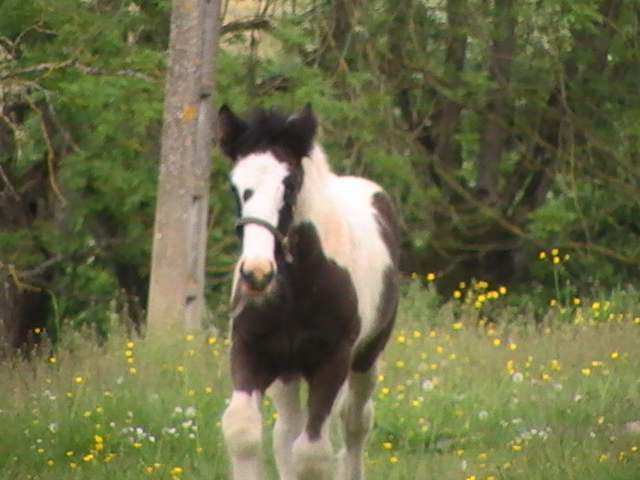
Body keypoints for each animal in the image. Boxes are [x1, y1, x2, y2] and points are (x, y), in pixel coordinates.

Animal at [218, 104, 400, 480]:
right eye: (235, 185)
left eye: (290, 184)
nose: (257, 273)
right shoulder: (250, 349)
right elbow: (243, 430)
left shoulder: (332, 360)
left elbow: (312, 453)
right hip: (287, 371)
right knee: (286, 432)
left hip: (367, 356)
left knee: (355, 422)